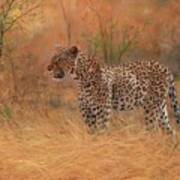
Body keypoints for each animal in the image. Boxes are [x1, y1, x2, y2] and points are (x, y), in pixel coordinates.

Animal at [47, 45, 180, 137]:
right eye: (53, 58)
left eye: (59, 60)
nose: (48, 68)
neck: (79, 78)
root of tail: (165, 68)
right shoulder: (87, 112)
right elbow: (92, 133)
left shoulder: (102, 110)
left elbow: (102, 131)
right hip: (160, 107)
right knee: (171, 132)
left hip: (151, 107)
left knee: (153, 130)